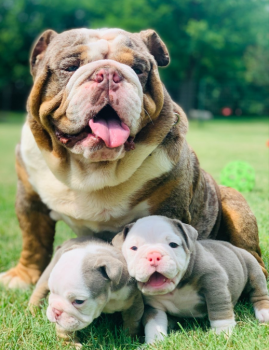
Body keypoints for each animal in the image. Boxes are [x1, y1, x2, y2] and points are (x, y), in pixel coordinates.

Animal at [113, 215, 268, 344]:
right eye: (134, 248)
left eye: (173, 245)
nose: (153, 256)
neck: (175, 288)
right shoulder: (153, 306)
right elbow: (154, 324)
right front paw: (153, 343)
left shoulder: (214, 281)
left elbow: (219, 309)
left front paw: (223, 333)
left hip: (253, 268)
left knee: (259, 292)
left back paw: (264, 313)